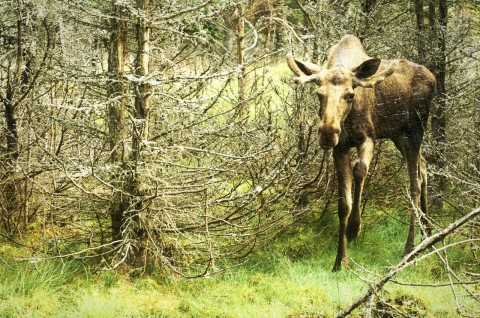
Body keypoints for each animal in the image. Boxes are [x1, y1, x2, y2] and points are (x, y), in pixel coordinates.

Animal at [286, 35, 436, 270]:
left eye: (350, 95)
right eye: (319, 94)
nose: (327, 133)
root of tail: (434, 78)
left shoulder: (368, 137)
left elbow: (359, 170)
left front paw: (354, 227)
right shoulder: (340, 147)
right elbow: (343, 203)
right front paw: (340, 261)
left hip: (415, 130)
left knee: (415, 182)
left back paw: (410, 248)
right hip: (398, 135)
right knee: (423, 166)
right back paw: (428, 237)